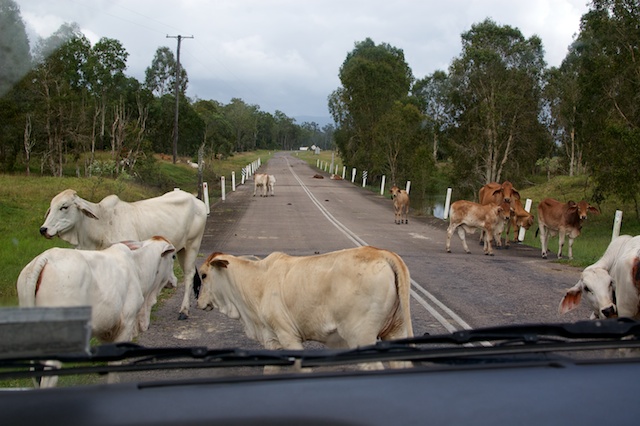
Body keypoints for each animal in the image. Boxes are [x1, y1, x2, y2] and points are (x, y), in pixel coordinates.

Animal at [38, 190, 208, 320]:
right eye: (51, 207)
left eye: (64, 207)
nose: (43, 229)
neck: (101, 224)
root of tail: (195, 200)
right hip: (180, 248)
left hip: (192, 244)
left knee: (189, 274)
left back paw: (184, 310)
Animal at [196, 246, 416, 372]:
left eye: (204, 275)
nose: (198, 303)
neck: (258, 282)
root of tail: (382, 253)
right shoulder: (273, 341)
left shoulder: (288, 337)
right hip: (396, 330)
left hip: (361, 336)